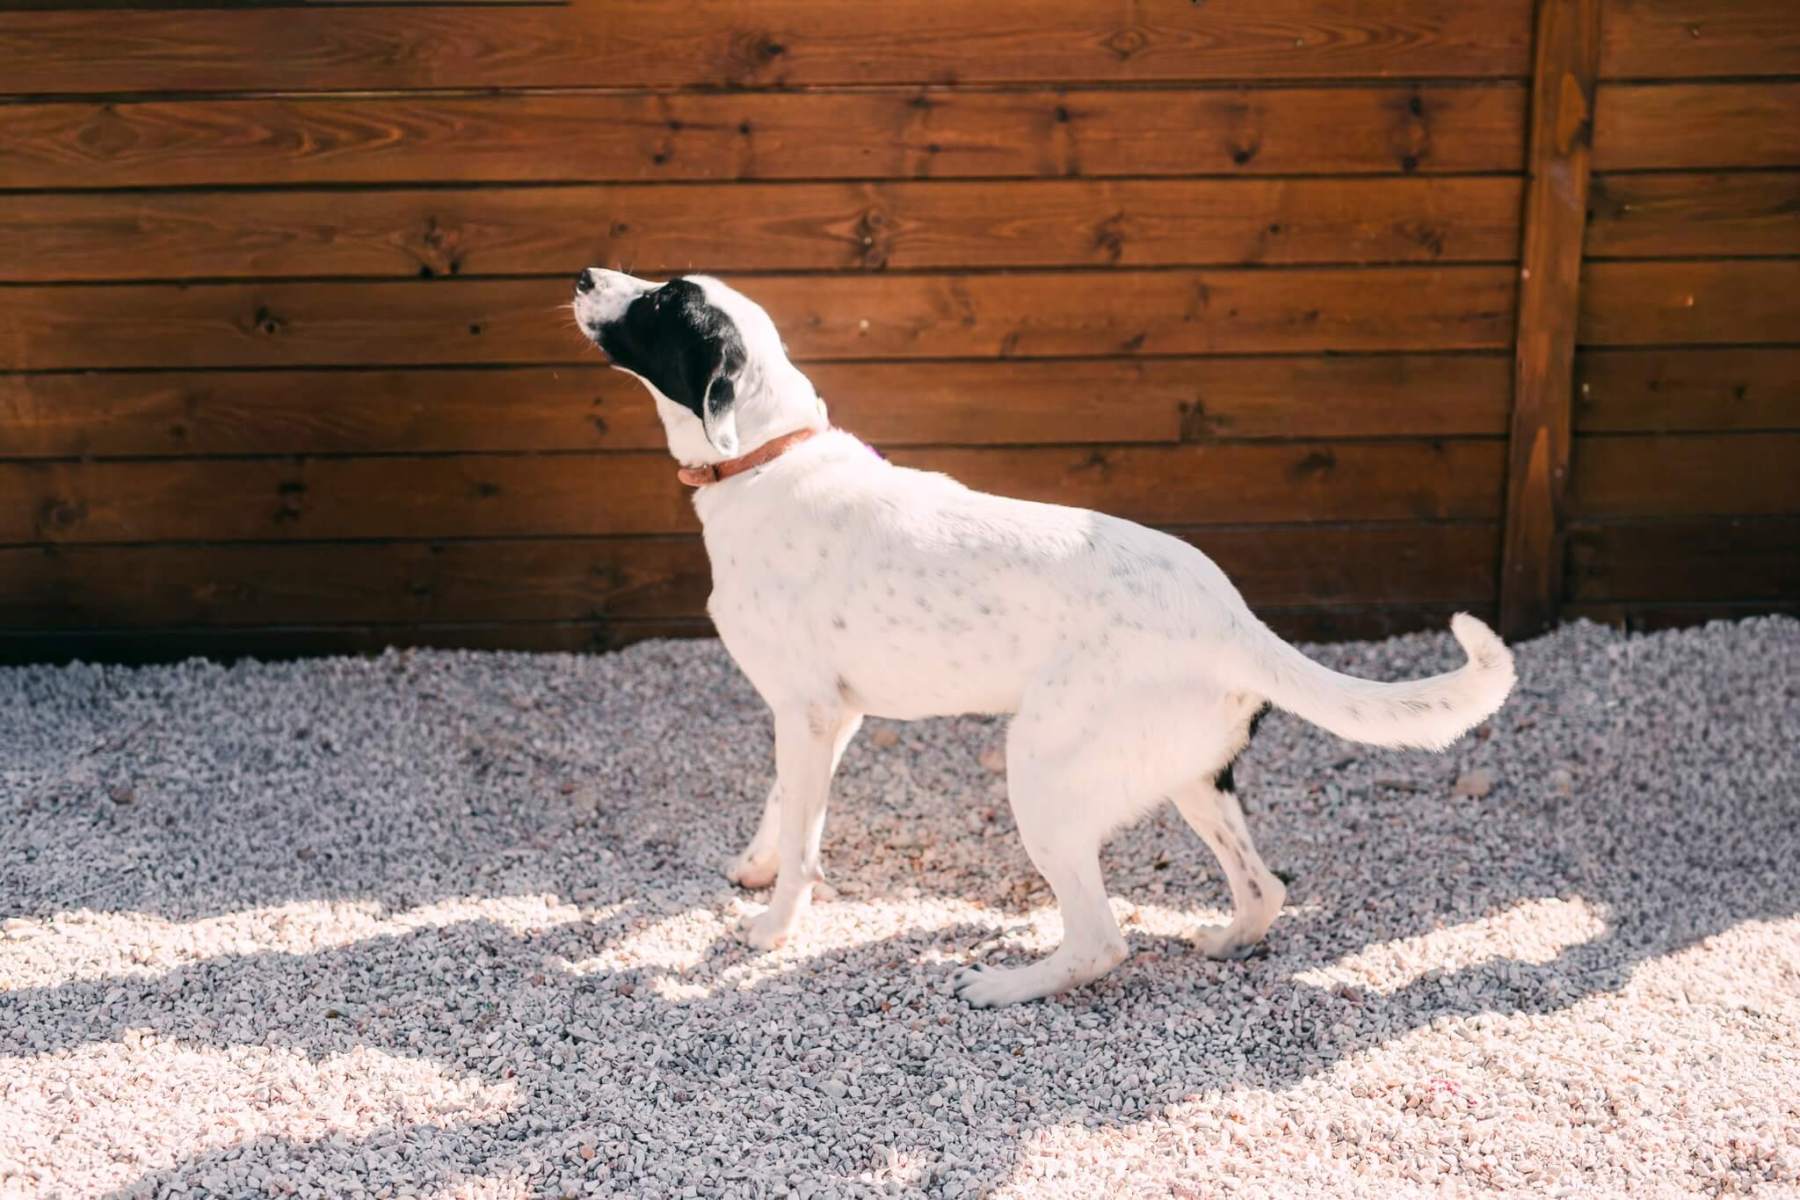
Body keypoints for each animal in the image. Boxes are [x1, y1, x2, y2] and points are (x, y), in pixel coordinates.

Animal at [572, 269, 1516, 1006]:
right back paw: (1224, 941)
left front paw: (772, 927)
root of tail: (1234, 619)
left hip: (1046, 775)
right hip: (1193, 777)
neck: (766, 460)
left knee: (1101, 939)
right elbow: (784, 806)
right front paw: (757, 867)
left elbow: (805, 839)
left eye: (659, 301)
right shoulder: (824, 717)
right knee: (1263, 888)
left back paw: (1003, 985)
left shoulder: (807, 711)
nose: (584, 274)